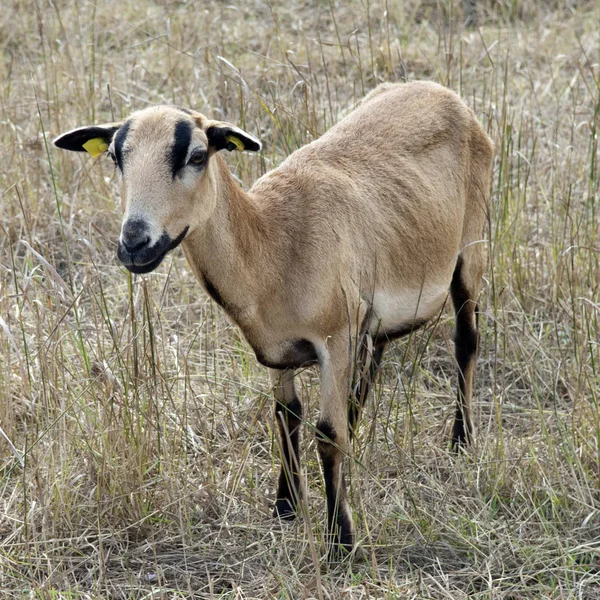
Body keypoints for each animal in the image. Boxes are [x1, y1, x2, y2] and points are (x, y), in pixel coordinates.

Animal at [54, 81, 492, 556]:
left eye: (197, 156)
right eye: (117, 158)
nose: (135, 244)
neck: (273, 244)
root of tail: (441, 91)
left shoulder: (334, 337)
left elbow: (326, 434)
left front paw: (341, 541)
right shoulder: (278, 350)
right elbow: (287, 416)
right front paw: (287, 505)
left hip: (470, 251)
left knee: (465, 342)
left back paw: (462, 441)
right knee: (372, 361)